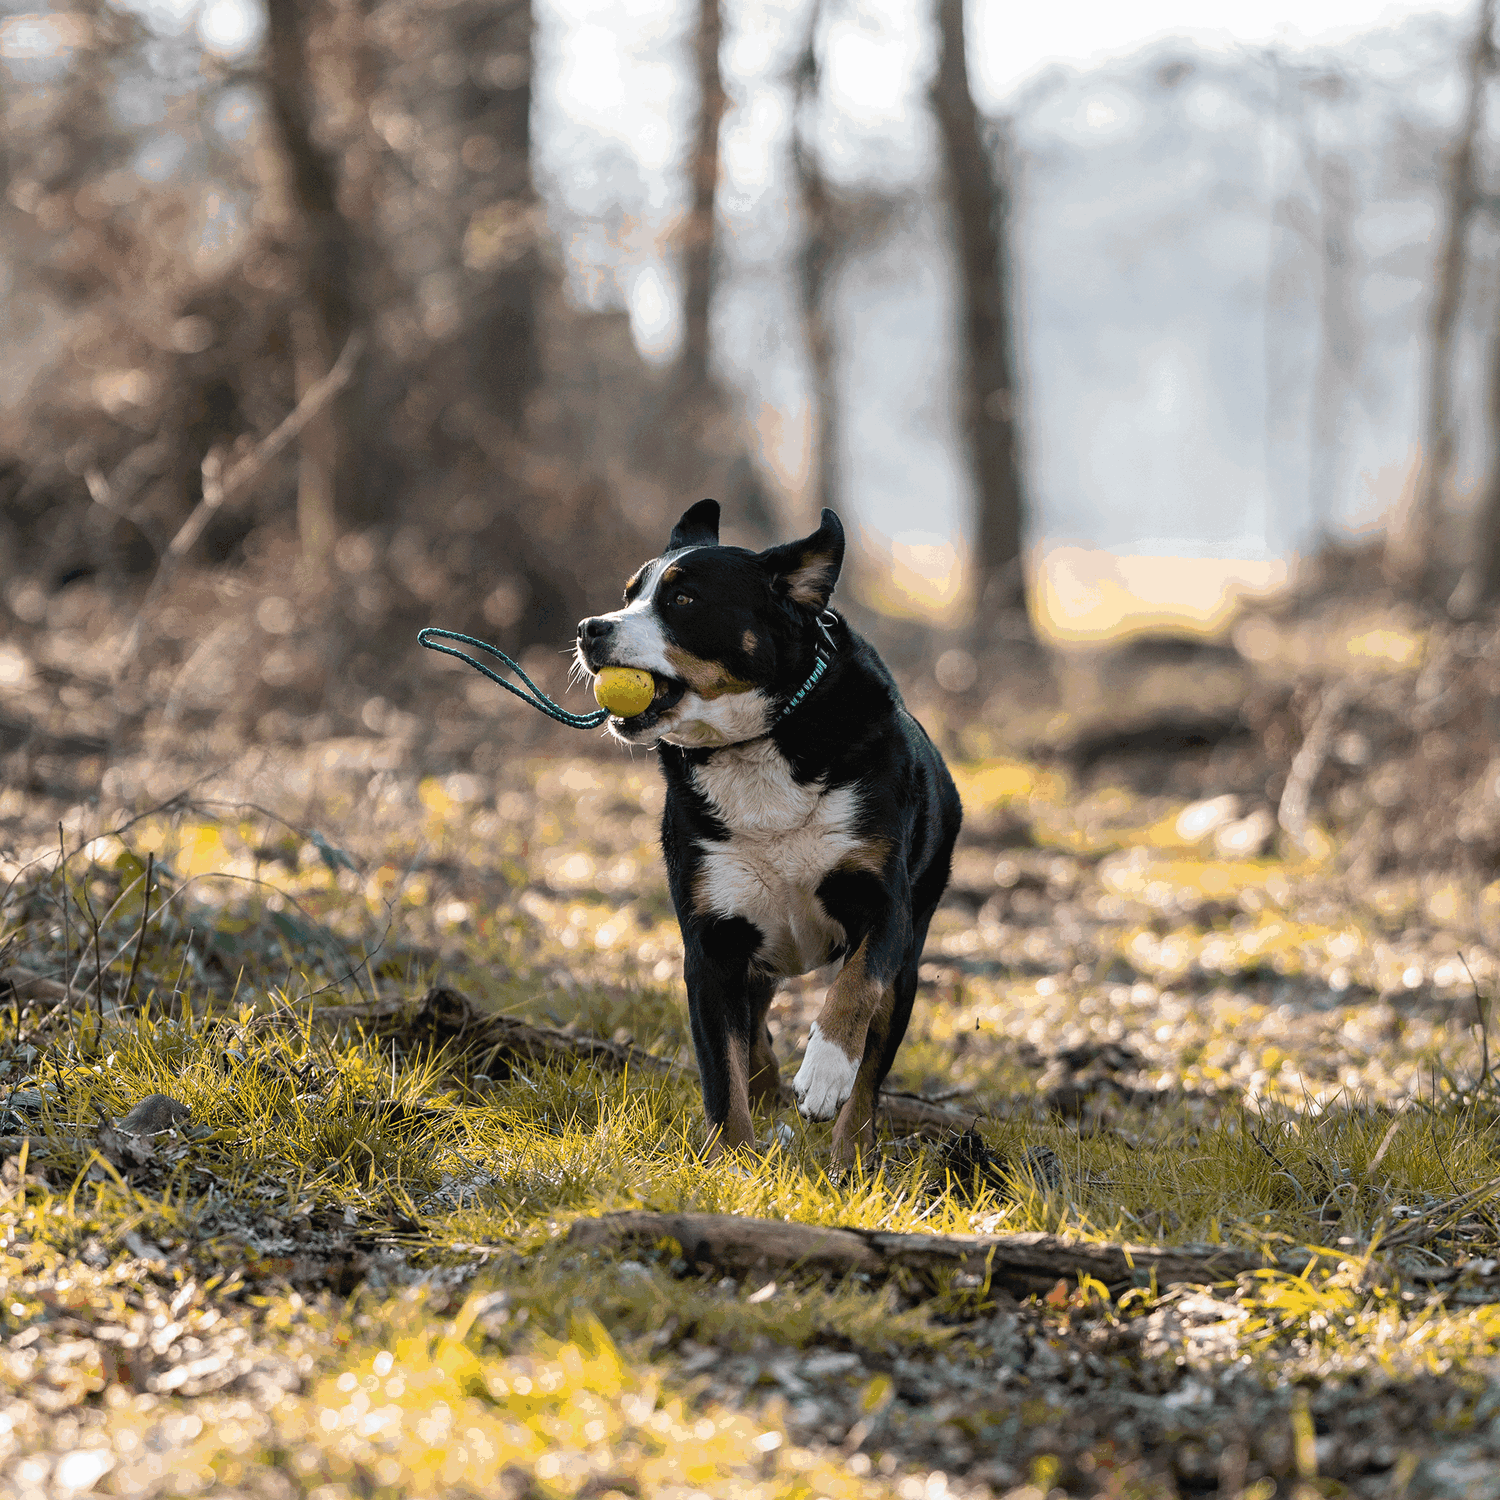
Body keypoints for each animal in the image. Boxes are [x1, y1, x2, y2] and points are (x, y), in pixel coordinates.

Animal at [573, 498, 960, 1164]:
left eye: (683, 599)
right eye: (629, 594)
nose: (590, 627)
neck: (755, 748)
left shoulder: (883, 902)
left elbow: (856, 988)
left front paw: (825, 1071)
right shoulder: (712, 940)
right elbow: (722, 1072)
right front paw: (731, 1162)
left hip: (911, 952)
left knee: (871, 1069)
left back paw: (848, 1151)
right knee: (753, 1035)